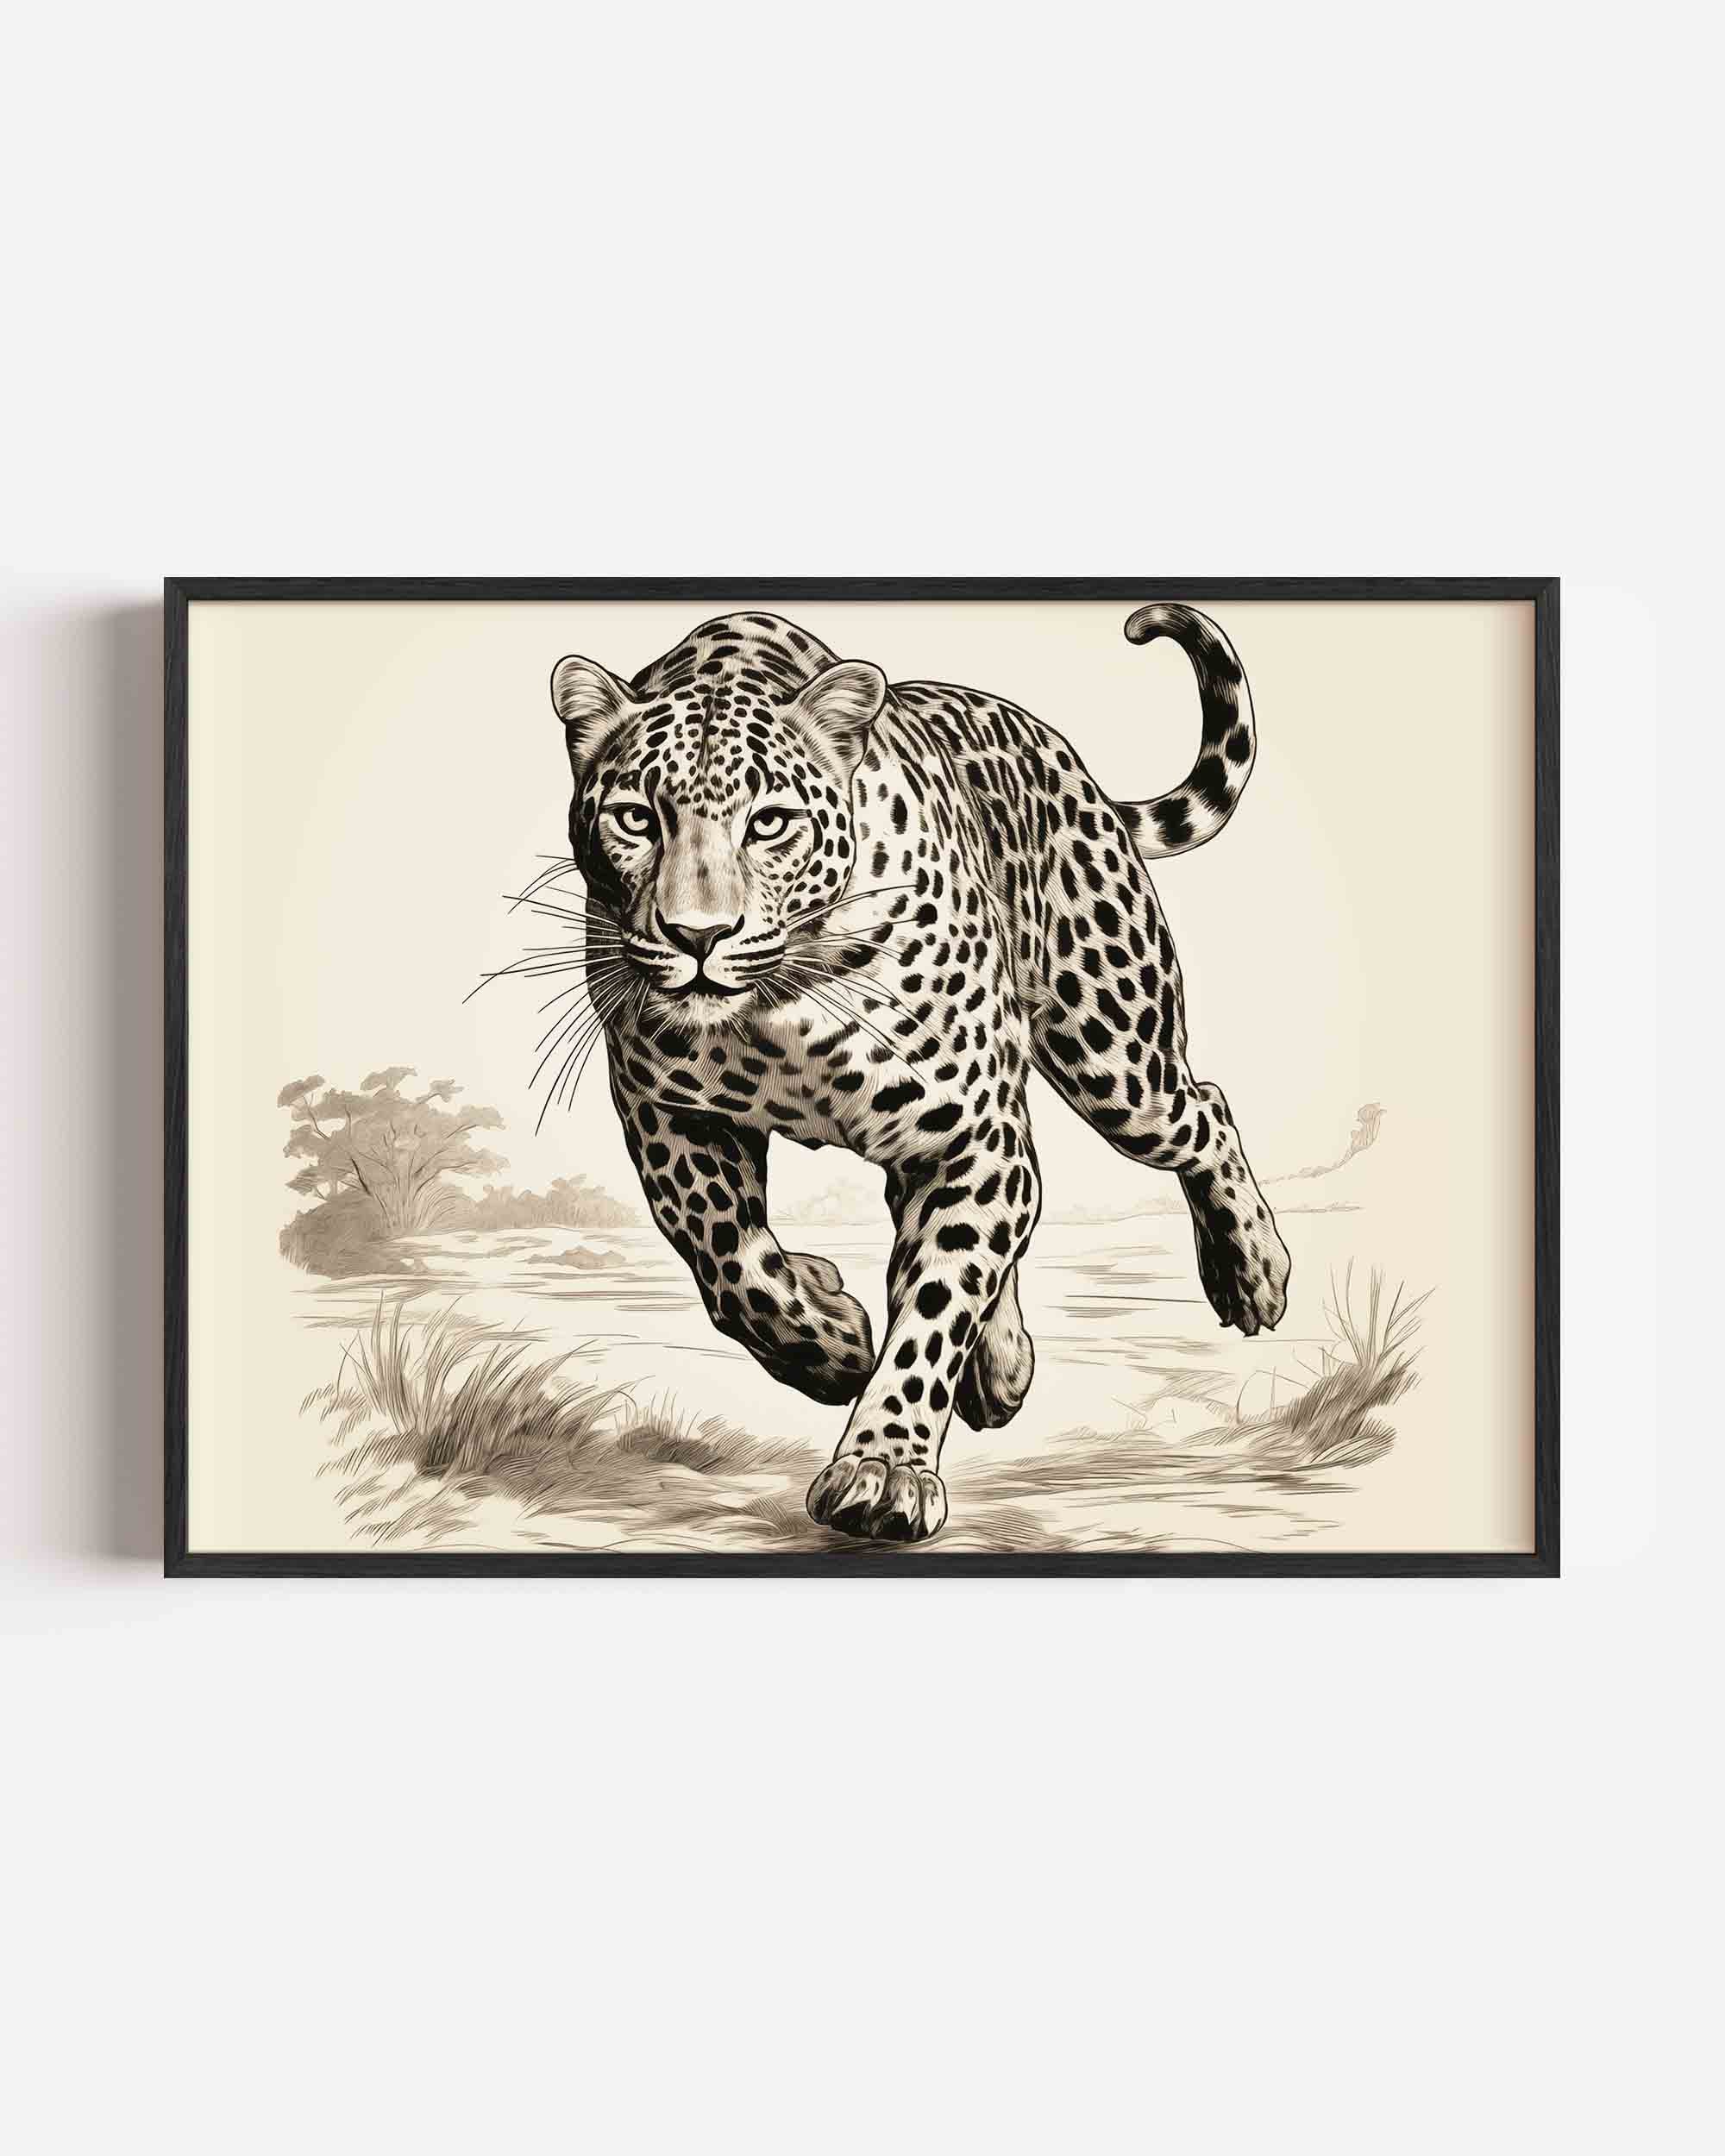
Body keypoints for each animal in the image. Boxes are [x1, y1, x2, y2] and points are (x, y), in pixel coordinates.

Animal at [547, 603, 1291, 1543]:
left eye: (769, 822)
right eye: (637, 818)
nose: (697, 935)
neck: (779, 1001)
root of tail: (1059, 754)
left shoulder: (969, 1133)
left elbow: (937, 1305)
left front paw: (882, 1471)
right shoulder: (666, 1109)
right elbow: (729, 1259)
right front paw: (829, 1342)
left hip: (1112, 1055)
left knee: (1204, 1110)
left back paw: (1251, 1271)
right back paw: (999, 1364)